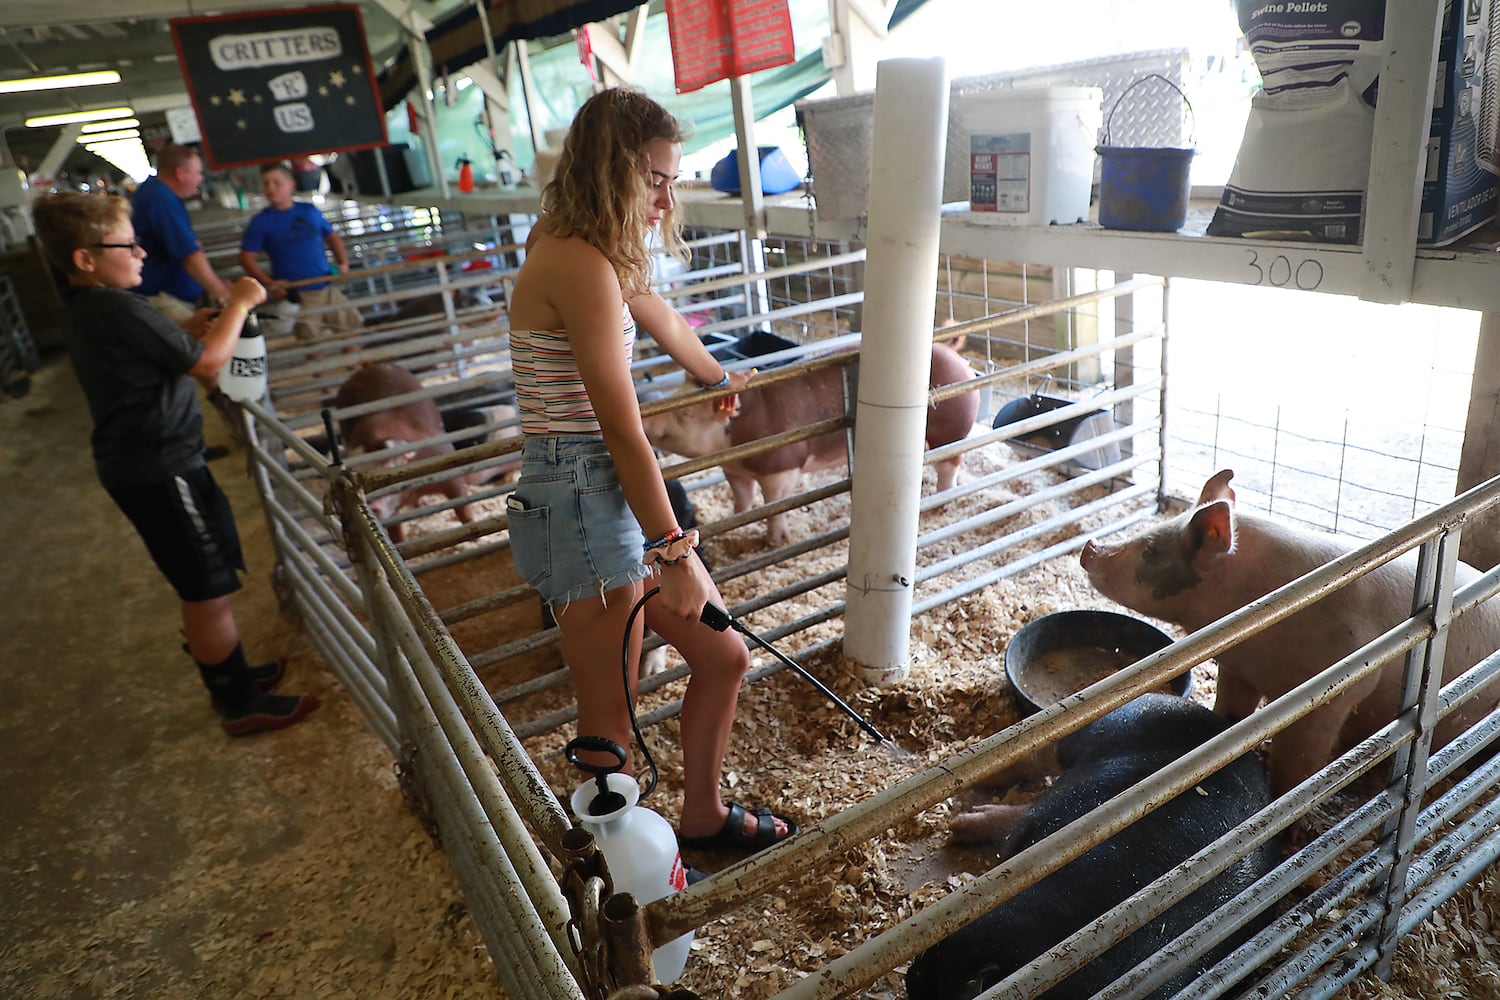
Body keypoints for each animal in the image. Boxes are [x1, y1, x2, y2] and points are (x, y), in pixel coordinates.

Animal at [1080, 470, 1500, 797]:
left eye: (1150, 548)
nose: (1090, 546)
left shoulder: (1337, 690)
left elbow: (1297, 767)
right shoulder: (1239, 669)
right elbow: (1230, 715)